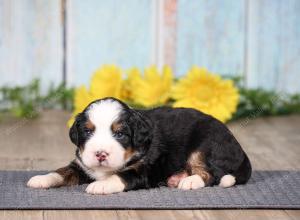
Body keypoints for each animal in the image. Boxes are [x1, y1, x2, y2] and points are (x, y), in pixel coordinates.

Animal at [27, 97, 251, 194]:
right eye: (88, 131)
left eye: (120, 134)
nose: (100, 154)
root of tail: (240, 150)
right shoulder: (82, 165)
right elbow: (61, 171)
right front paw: (41, 179)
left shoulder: (142, 170)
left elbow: (121, 176)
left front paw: (100, 184)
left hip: (205, 144)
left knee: (211, 173)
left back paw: (189, 182)